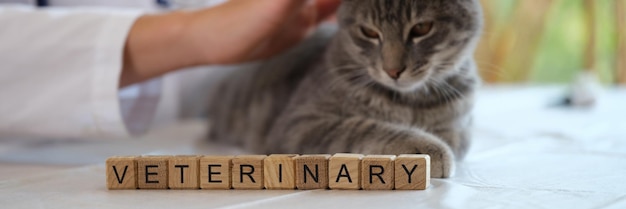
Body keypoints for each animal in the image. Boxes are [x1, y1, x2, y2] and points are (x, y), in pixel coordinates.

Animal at [207, 0, 480, 178]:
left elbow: (456, 136)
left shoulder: (462, 124)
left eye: (422, 28)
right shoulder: (298, 123)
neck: (408, 101)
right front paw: (423, 146)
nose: (393, 71)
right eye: (369, 32)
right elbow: (362, 127)